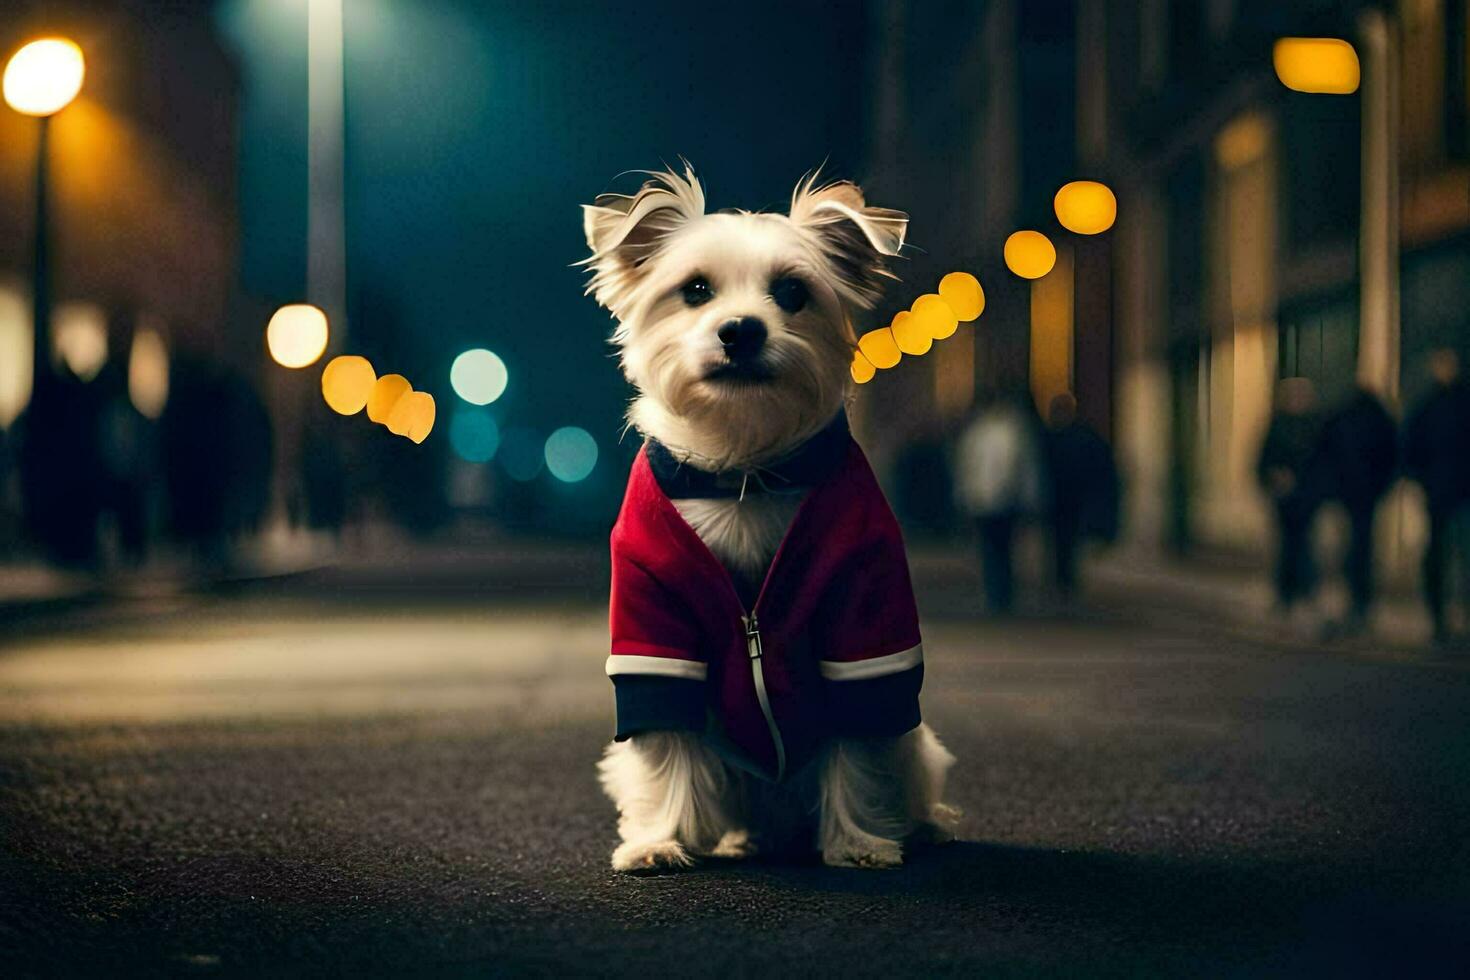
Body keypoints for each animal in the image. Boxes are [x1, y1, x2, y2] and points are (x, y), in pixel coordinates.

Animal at [579, 163, 958, 875]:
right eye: (696, 290)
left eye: (792, 293)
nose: (741, 330)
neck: (744, 471)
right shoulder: (654, 632)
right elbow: (666, 746)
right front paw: (656, 840)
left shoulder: (863, 625)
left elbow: (856, 747)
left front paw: (858, 842)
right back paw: (741, 838)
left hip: (914, 743)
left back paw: (923, 827)